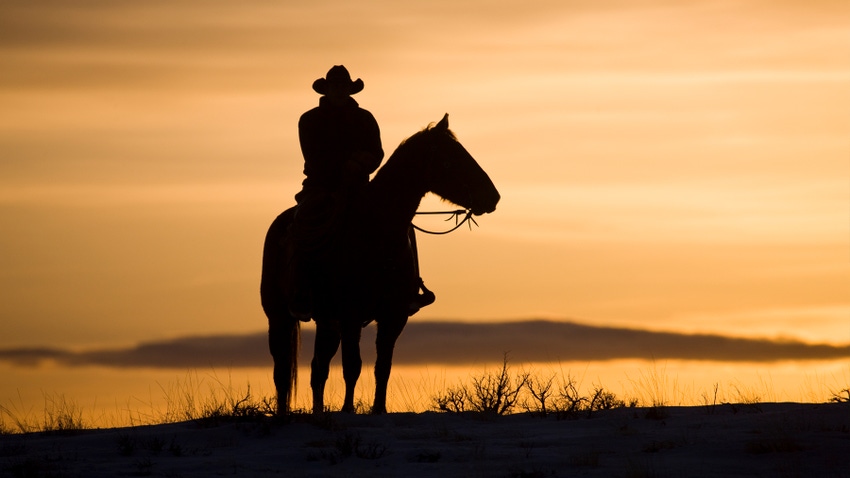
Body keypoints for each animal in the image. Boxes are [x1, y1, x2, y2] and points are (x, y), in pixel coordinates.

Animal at [258, 113, 496, 414]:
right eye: (452, 158)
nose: (493, 196)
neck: (376, 230)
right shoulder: (350, 314)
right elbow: (353, 366)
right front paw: (348, 411)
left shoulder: (393, 315)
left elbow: (383, 367)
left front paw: (379, 409)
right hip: (279, 316)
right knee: (282, 370)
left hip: (327, 321)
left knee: (318, 368)